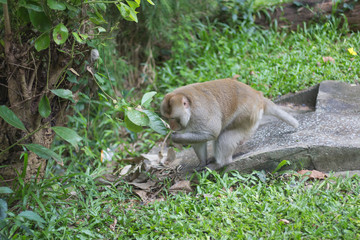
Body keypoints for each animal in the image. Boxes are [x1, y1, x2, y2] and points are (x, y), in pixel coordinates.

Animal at [160, 78, 298, 170]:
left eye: (173, 118)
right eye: (167, 118)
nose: (171, 126)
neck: (189, 107)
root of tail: (257, 95)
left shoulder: (200, 113)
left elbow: (213, 133)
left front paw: (176, 138)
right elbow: (199, 142)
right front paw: (202, 162)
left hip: (247, 114)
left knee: (224, 136)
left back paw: (220, 164)